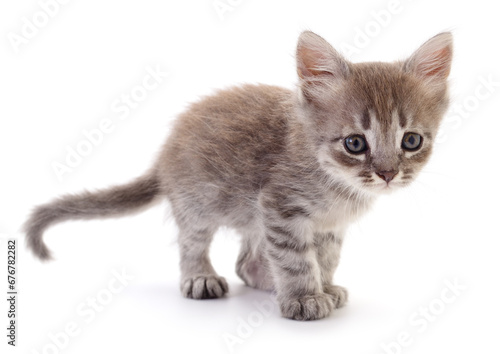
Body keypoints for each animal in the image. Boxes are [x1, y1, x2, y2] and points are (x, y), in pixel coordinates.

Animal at [24, 31, 454, 320]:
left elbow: (325, 257)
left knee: (245, 263)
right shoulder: (279, 208)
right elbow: (296, 259)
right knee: (192, 245)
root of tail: (165, 151)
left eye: (411, 140)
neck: (337, 185)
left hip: (248, 217)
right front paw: (304, 297)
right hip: (198, 203)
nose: (387, 173)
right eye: (354, 143)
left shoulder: (325, 226)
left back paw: (265, 280)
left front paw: (324, 285)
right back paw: (200, 277)